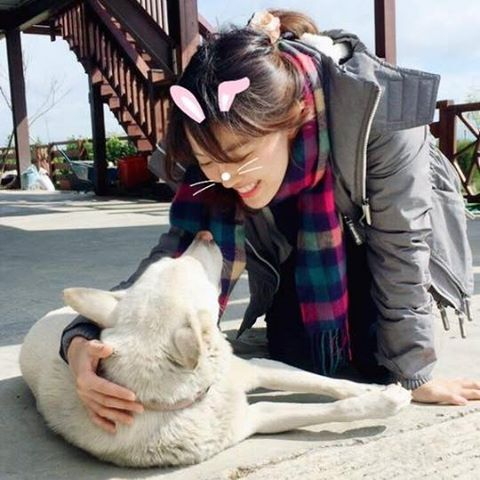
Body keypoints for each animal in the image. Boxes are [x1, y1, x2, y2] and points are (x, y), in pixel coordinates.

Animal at [20, 234, 411, 467]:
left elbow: (325, 382)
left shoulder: (256, 366)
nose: (204, 234)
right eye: (190, 267)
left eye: (166, 263)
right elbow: (331, 409)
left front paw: (376, 388)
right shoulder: (257, 417)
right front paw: (384, 402)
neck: (198, 394)